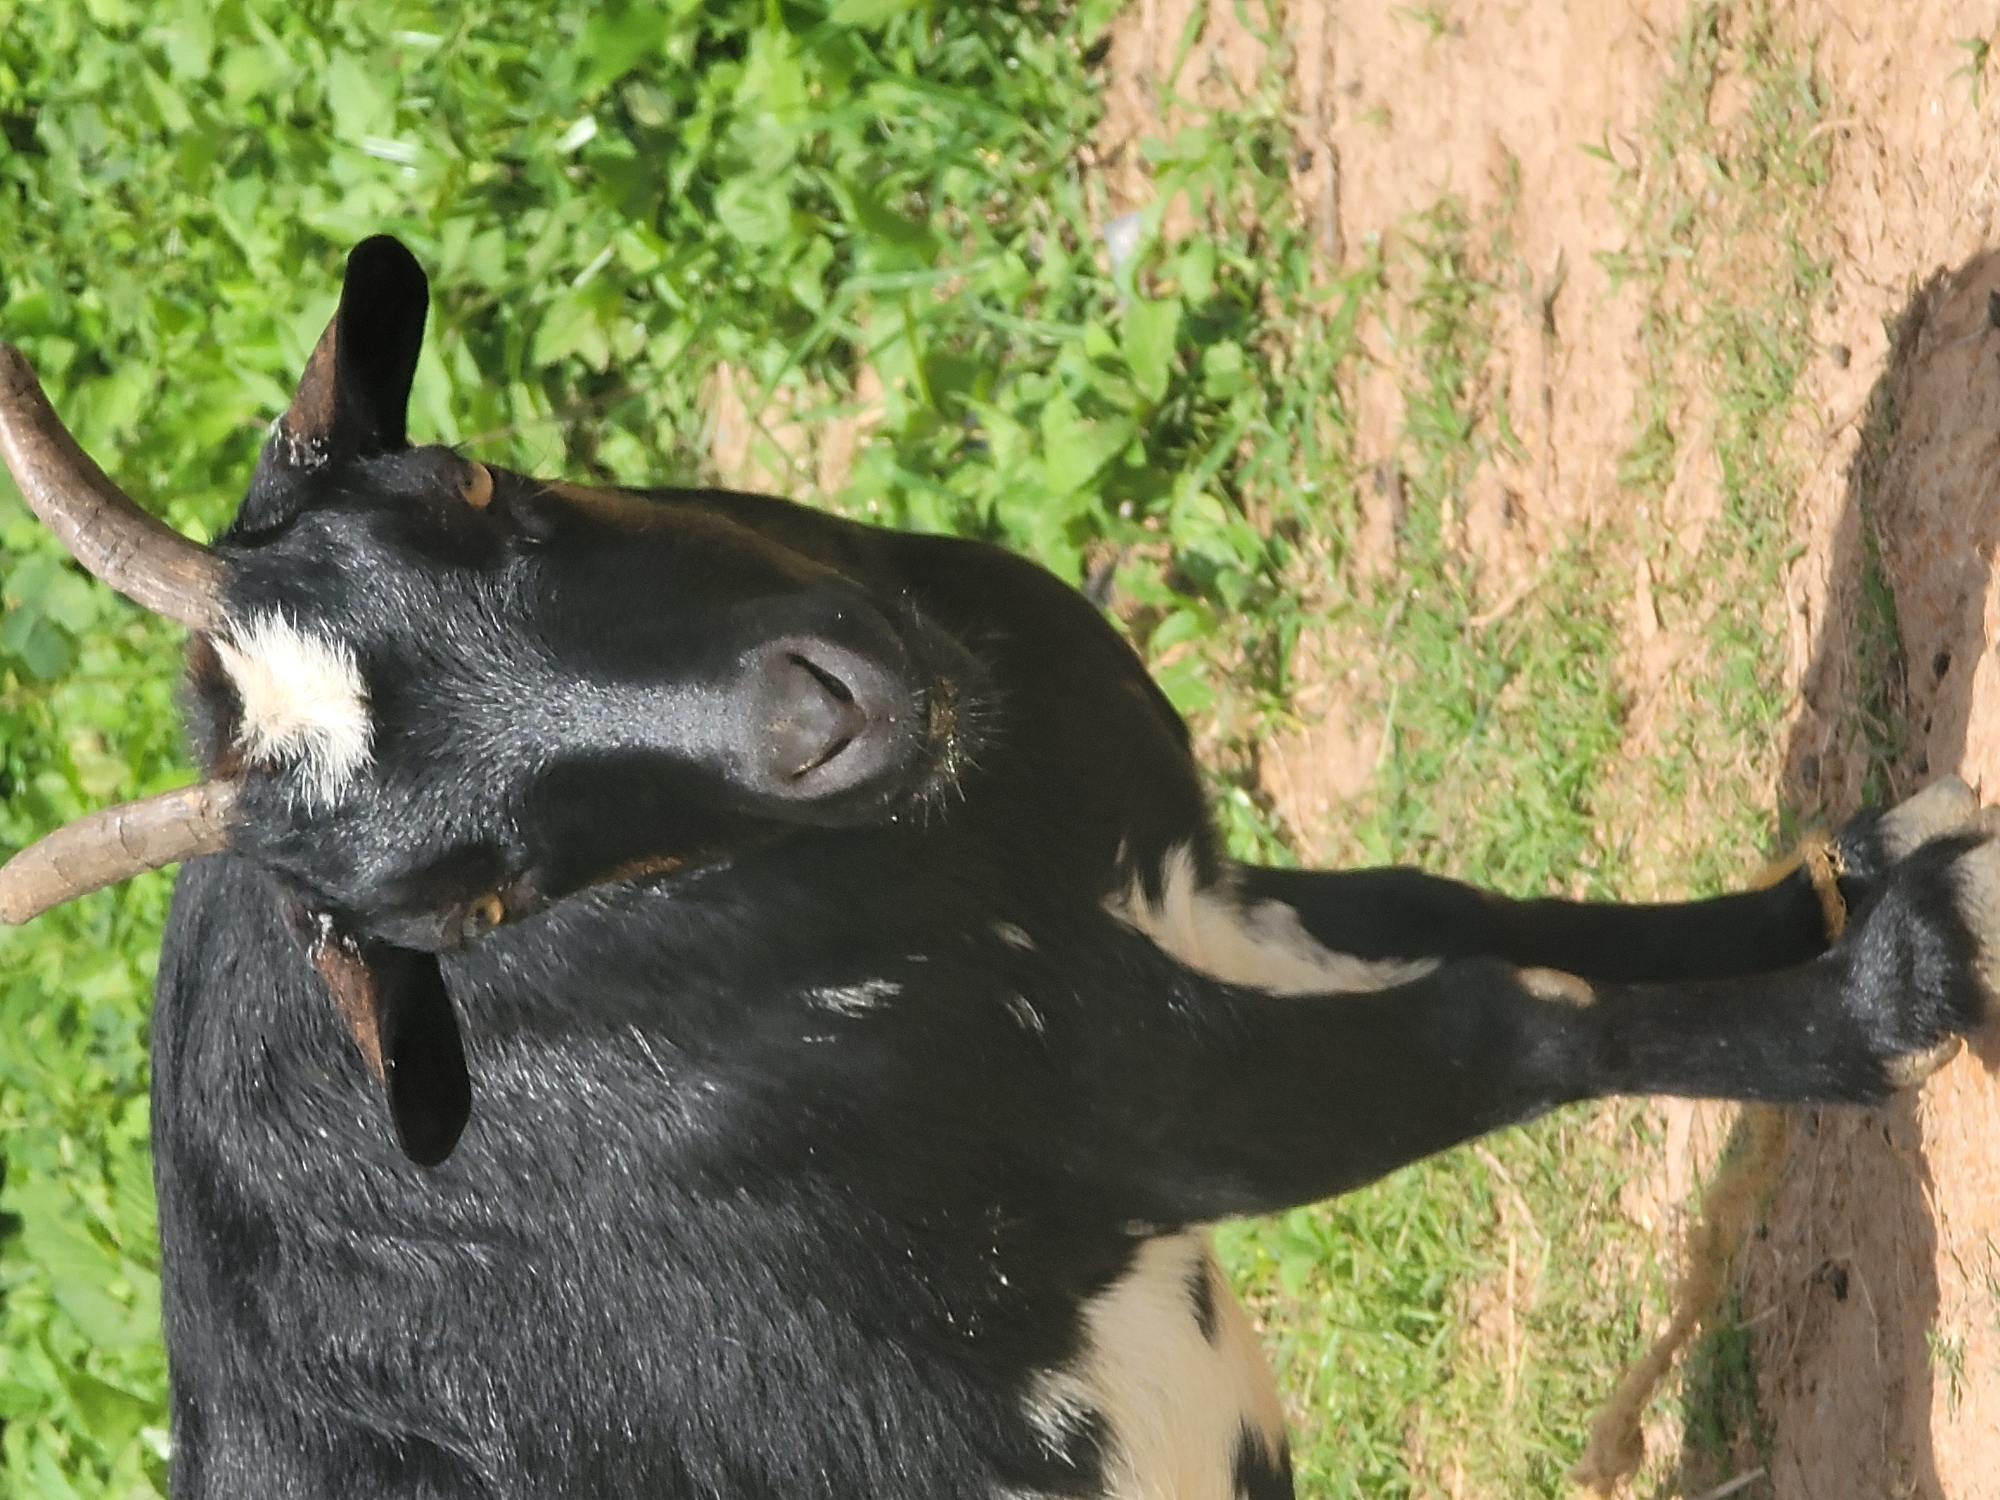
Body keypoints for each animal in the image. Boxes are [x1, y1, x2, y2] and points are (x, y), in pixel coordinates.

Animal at [1, 234, 1995, 1499]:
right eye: (467, 902)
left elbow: (1472, 913)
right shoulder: (1138, 1111)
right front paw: (1891, 990)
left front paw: (1862, 873)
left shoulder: (1174, 885)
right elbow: (1512, 1022)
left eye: (477, 485)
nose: (822, 717)